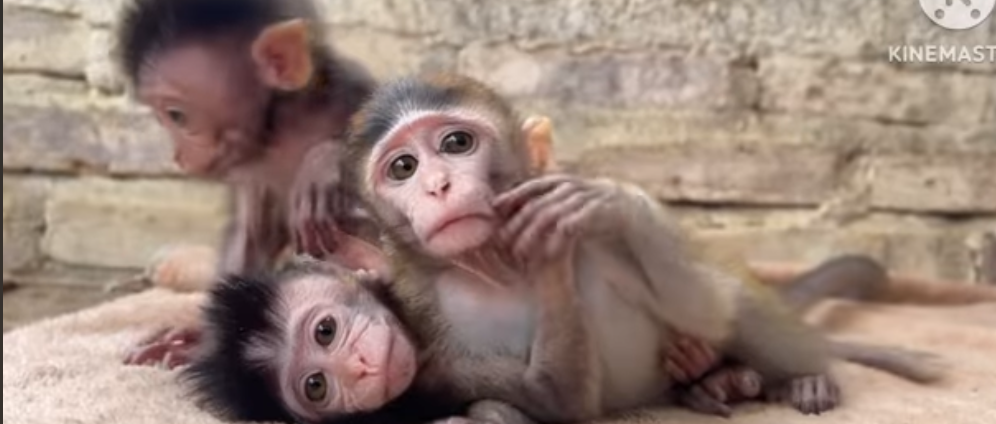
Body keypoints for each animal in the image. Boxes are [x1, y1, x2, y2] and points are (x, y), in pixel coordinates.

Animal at [112, 0, 380, 368]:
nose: (178, 156)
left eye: (177, 116)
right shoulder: (249, 167)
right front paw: (205, 342)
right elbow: (251, 236)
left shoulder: (350, 91)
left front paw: (324, 161)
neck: (280, 125)